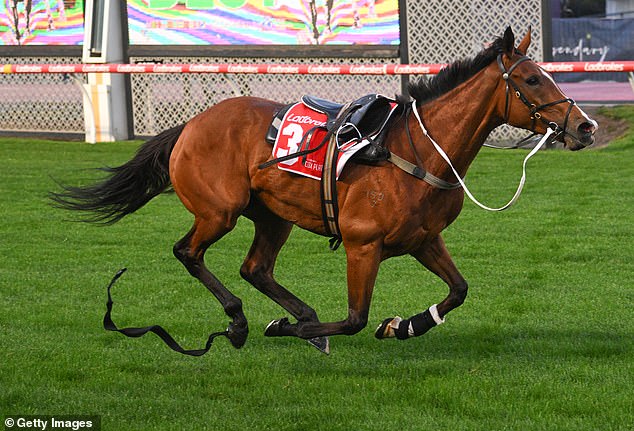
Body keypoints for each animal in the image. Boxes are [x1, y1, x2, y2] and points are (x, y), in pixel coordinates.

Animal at [51, 28, 596, 356]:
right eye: (531, 79)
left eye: (547, 74)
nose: (585, 127)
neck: (418, 152)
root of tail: (189, 125)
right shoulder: (363, 245)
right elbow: (354, 318)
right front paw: (286, 328)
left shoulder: (423, 239)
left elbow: (459, 290)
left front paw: (402, 325)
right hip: (219, 212)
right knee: (189, 252)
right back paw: (242, 322)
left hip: (273, 216)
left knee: (255, 268)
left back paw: (293, 316)